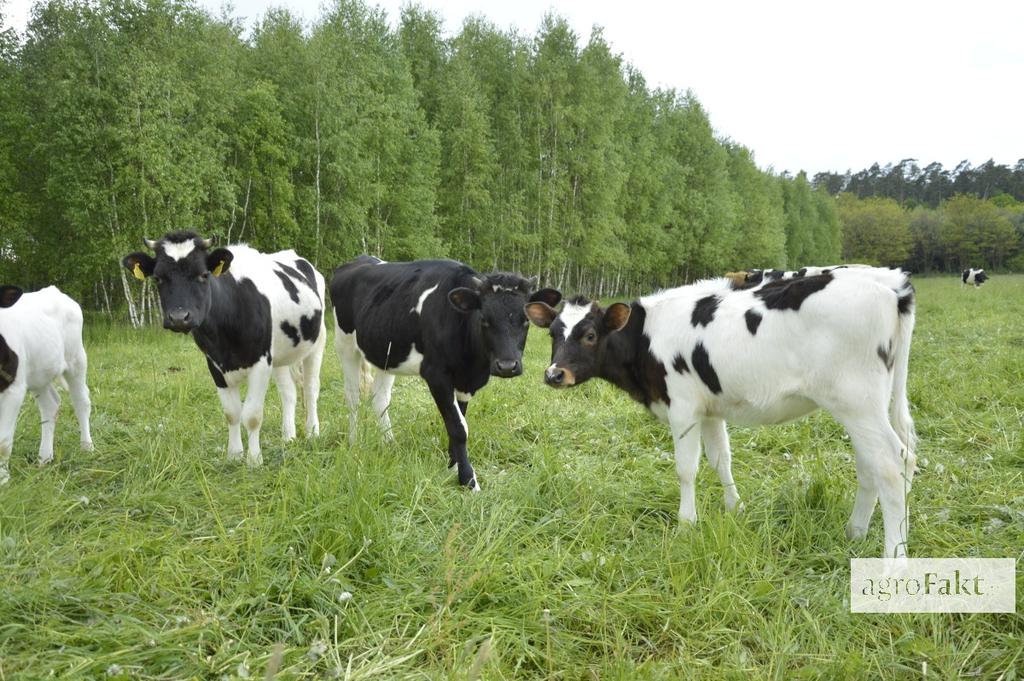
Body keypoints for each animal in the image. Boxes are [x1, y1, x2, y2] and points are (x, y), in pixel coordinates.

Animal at [0, 284, 94, 481]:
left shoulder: (14, 388)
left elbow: (3, 442)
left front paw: (3, 479)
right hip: (39, 374)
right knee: (51, 404)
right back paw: (45, 458)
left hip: (76, 359)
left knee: (81, 402)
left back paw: (87, 446)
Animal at [122, 231, 327, 464]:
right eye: (158, 278)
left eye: (203, 275)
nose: (179, 318)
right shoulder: (215, 364)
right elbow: (232, 413)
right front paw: (235, 455)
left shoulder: (261, 361)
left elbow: (252, 415)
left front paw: (254, 460)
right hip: (281, 355)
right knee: (289, 392)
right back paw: (288, 437)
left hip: (317, 341)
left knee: (311, 388)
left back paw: (312, 432)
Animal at [331, 254, 561, 489]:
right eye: (484, 319)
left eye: (526, 320)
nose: (507, 366)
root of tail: (361, 259)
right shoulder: (436, 375)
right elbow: (459, 428)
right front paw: (468, 479)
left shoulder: (465, 380)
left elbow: (459, 420)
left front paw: (453, 466)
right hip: (345, 345)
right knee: (353, 397)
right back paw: (354, 443)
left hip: (385, 353)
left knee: (380, 398)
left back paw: (389, 442)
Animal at [528, 266, 921, 557]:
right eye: (552, 334)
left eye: (590, 334)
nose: (554, 374)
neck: (646, 337)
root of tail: (890, 285)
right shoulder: (709, 408)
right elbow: (721, 458)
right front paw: (735, 508)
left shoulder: (683, 407)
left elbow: (686, 469)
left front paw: (687, 523)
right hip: (864, 406)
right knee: (872, 464)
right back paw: (855, 532)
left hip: (857, 402)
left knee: (893, 463)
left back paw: (894, 556)